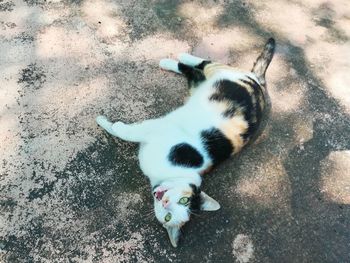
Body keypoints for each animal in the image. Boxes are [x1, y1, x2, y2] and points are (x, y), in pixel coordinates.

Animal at [96, 38, 276, 249]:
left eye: (169, 217)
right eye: (183, 199)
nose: (165, 202)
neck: (173, 174)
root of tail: (258, 82)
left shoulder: (155, 129)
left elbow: (124, 131)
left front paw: (107, 123)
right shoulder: (159, 127)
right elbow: (126, 132)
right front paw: (105, 122)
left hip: (198, 85)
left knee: (193, 73)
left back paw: (170, 62)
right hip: (220, 74)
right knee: (204, 63)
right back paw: (175, 58)